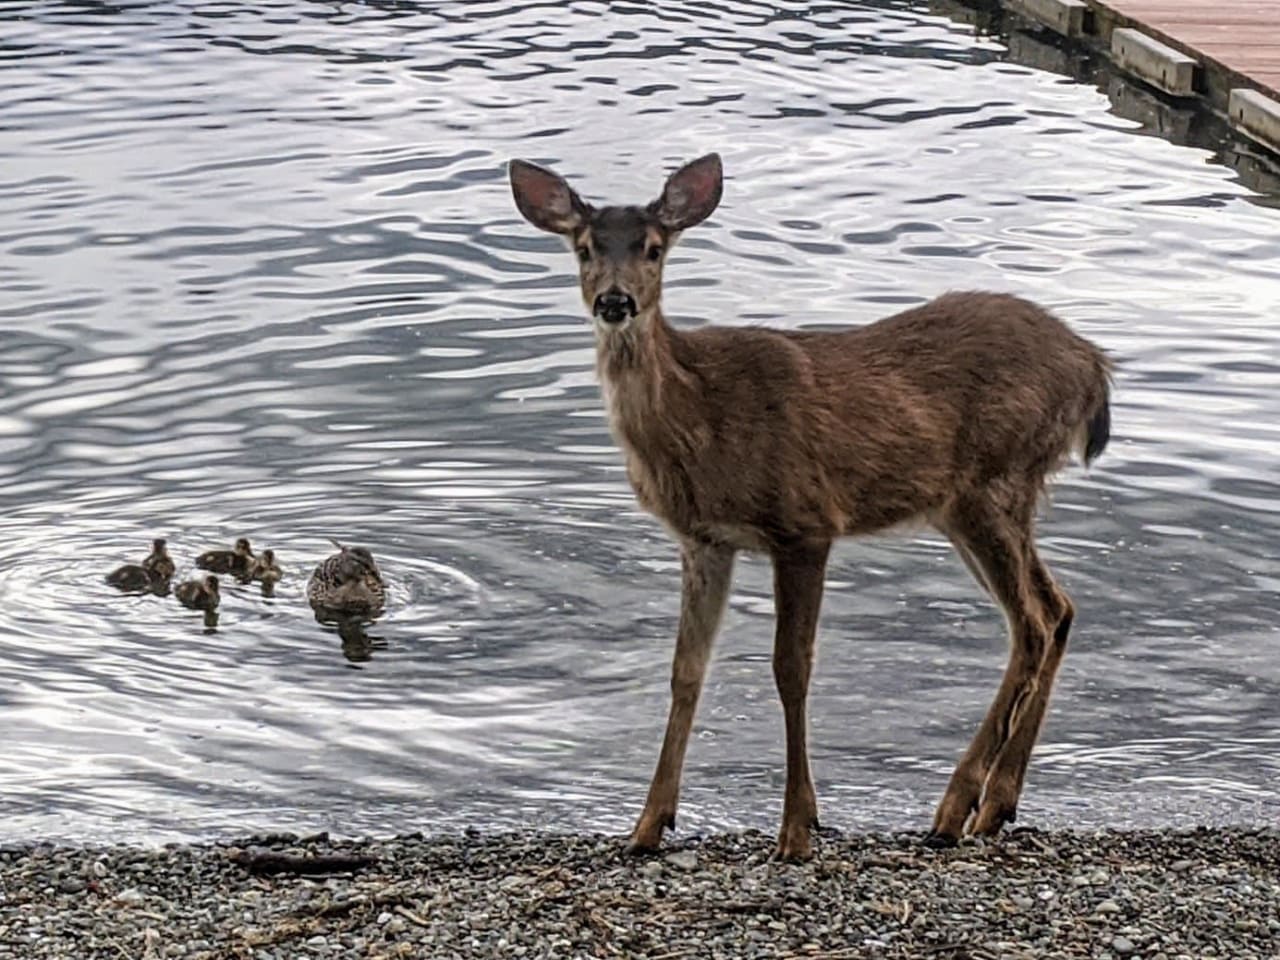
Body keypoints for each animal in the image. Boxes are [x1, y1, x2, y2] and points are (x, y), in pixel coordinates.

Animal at [509, 152, 1111, 865]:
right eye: (583, 249)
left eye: (654, 249)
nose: (614, 301)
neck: (699, 419)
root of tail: (1094, 366)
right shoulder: (705, 540)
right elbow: (686, 670)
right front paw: (648, 825)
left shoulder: (804, 523)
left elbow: (790, 669)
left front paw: (797, 829)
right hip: (975, 503)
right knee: (1058, 606)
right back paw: (996, 804)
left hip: (993, 482)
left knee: (1034, 622)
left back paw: (955, 806)